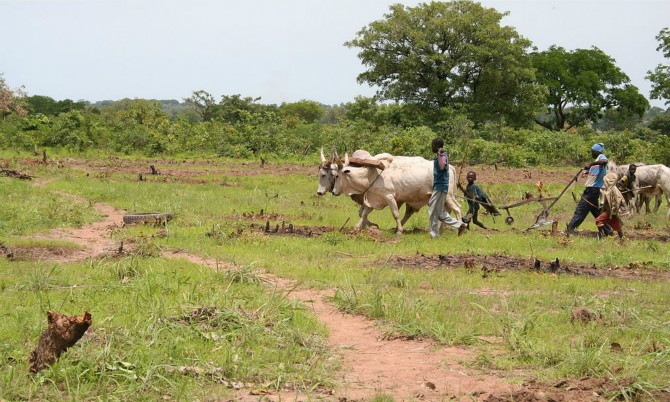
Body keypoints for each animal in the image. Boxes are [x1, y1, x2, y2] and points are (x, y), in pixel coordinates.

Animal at [334, 151, 462, 234]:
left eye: (336, 176)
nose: (334, 192)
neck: (371, 175)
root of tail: (450, 167)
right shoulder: (374, 199)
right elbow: (364, 213)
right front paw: (356, 228)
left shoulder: (389, 196)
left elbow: (395, 214)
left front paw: (399, 231)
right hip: (444, 197)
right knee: (447, 210)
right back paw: (441, 229)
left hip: (448, 196)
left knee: (457, 208)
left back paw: (460, 228)